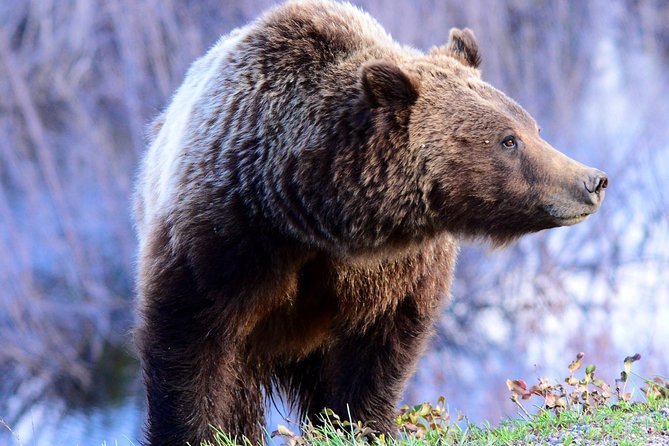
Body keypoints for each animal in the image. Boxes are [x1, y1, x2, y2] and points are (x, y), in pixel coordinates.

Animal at [133, 1, 608, 444]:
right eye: (508, 140)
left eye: (534, 128)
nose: (592, 180)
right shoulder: (228, 236)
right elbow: (189, 341)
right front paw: (194, 432)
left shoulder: (393, 271)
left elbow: (379, 353)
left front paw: (364, 425)